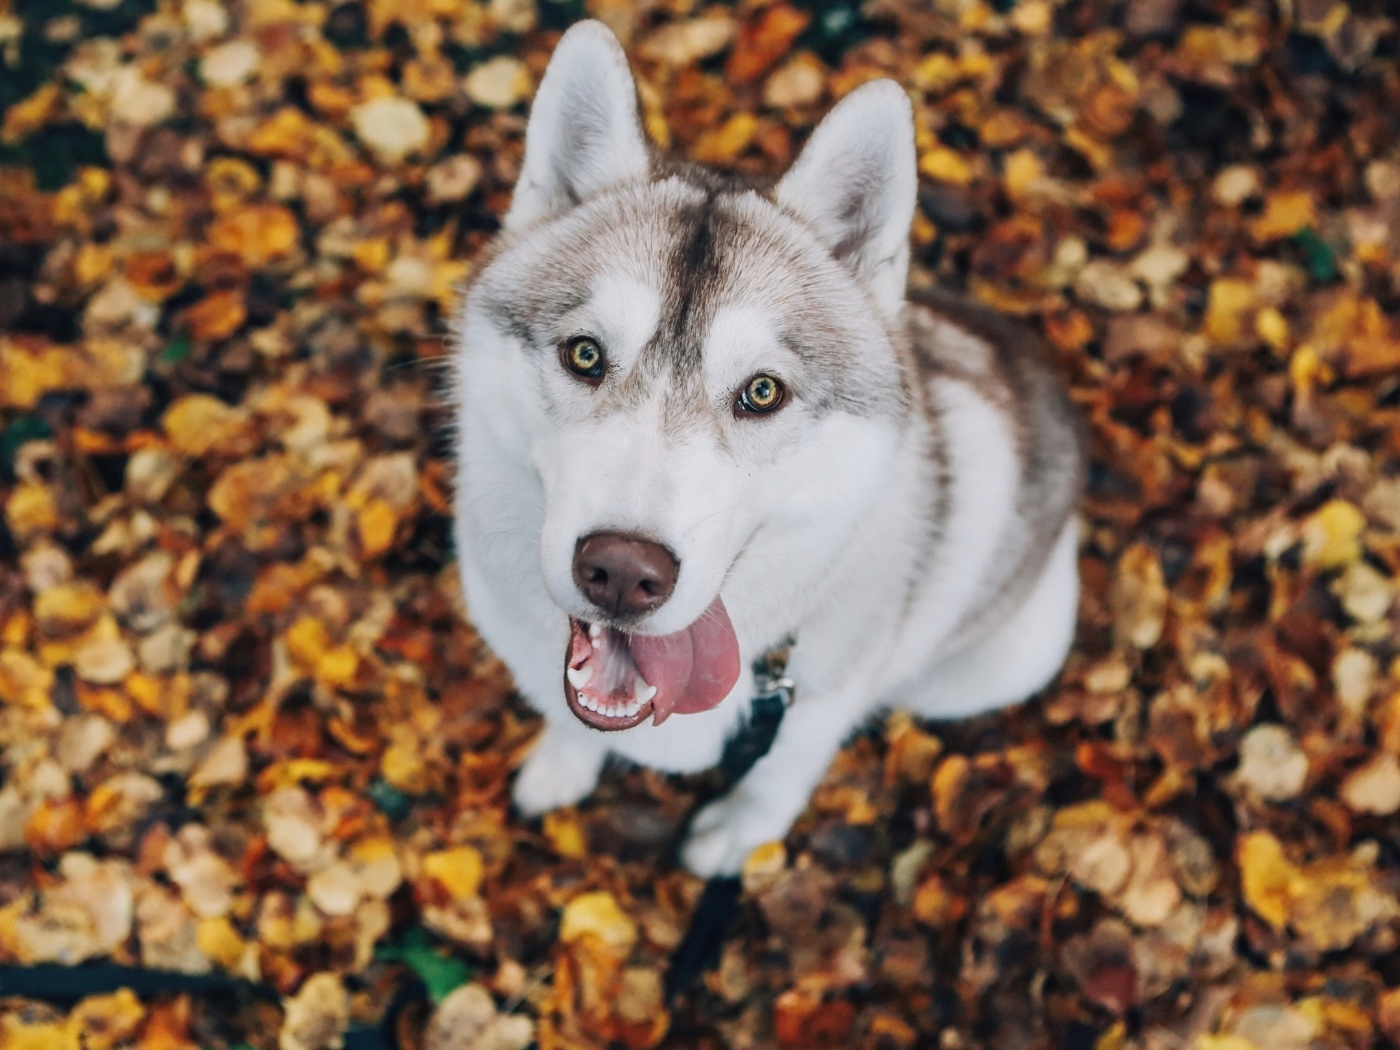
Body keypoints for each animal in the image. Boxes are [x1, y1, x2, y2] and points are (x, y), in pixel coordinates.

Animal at [453, 22, 1086, 879]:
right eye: (584, 354)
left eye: (761, 392)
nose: (622, 571)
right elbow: (567, 717)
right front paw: (561, 765)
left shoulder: (820, 701)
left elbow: (780, 773)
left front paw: (739, 834)